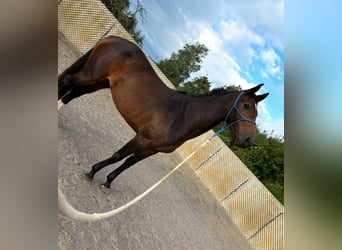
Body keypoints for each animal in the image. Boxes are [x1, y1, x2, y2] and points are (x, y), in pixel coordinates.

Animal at [58, 35, 268, 192]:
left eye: (257, 112)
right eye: (246, 106)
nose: (248, 140)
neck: (183, 116)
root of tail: (113, 38)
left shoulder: (151, 149)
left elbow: (128, 163)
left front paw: (108, 182)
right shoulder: (141, 139)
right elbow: (118, 156)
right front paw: (92, 172)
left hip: (100, 82)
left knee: (73, 93)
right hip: (90, 75)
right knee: (66, 81)